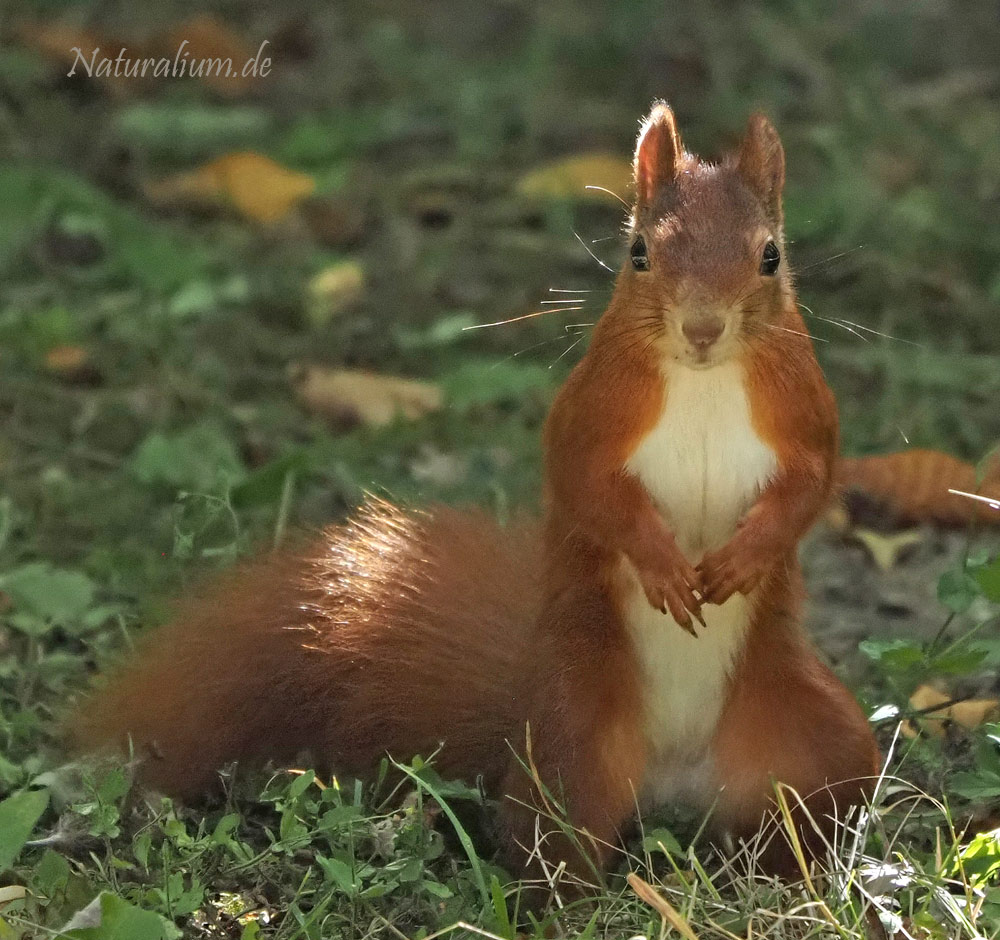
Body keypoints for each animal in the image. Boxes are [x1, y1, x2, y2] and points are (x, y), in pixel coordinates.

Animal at [70, 103, 999, 885]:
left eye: (770, 255)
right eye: (639, 252)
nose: (703, 329)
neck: (704, 382)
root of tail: (674, 781)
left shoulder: (805, 417)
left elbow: (808, 489)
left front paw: (742, 558)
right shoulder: (589, 418)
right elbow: (589, 488)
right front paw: (665, 566)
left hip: (817, 742)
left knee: (804, 818)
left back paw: (801, 876)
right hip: (573, 741)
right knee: (554, 843)